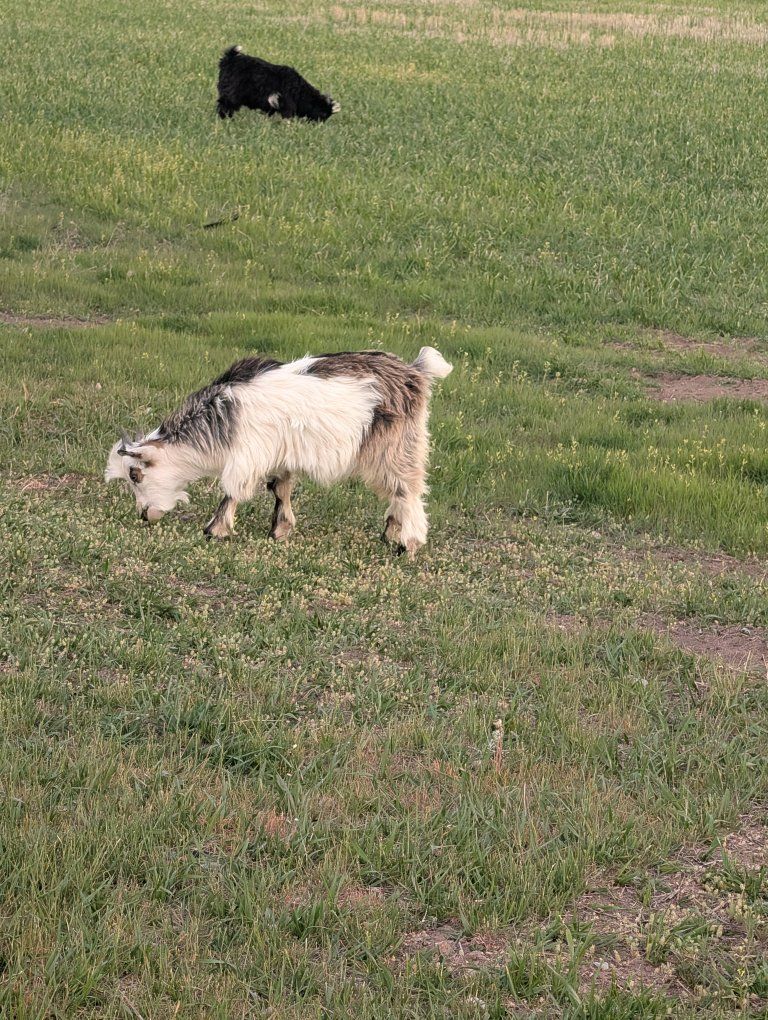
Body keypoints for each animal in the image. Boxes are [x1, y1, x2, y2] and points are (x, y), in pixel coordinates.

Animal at [105, 348, 453, 556]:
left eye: (135, 474)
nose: (144, 514)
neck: (222, 415)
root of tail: (415, 373)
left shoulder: (247, 453)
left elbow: (232, 489)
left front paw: (215, 530)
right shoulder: (281, 456)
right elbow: (280, 488)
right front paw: (280, 529)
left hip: (397, 445)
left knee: (408, 488)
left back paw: (408, 543)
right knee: (398, 491)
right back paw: (391, 531)